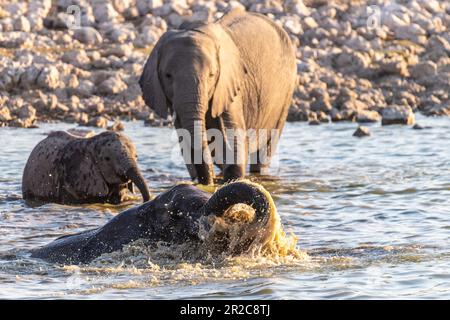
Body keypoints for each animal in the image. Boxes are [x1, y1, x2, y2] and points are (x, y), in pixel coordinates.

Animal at [139, 8, 298, 185]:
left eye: (211, 75)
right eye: (168, 76)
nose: (206, 181)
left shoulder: (229, 86)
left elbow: (234, 137)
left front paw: (233, 179)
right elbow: (186, 141)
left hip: (286, 91)